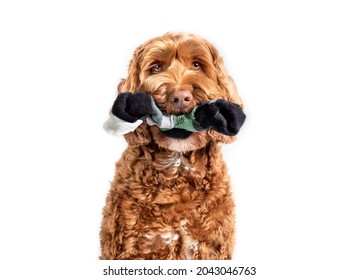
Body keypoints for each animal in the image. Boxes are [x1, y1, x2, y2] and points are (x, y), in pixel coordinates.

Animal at [100, 31, 246, 260]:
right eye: (156, 67)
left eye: (196, 64)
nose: (180, 97)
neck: (178, 167)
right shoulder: (133, 246)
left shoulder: (212, 246)